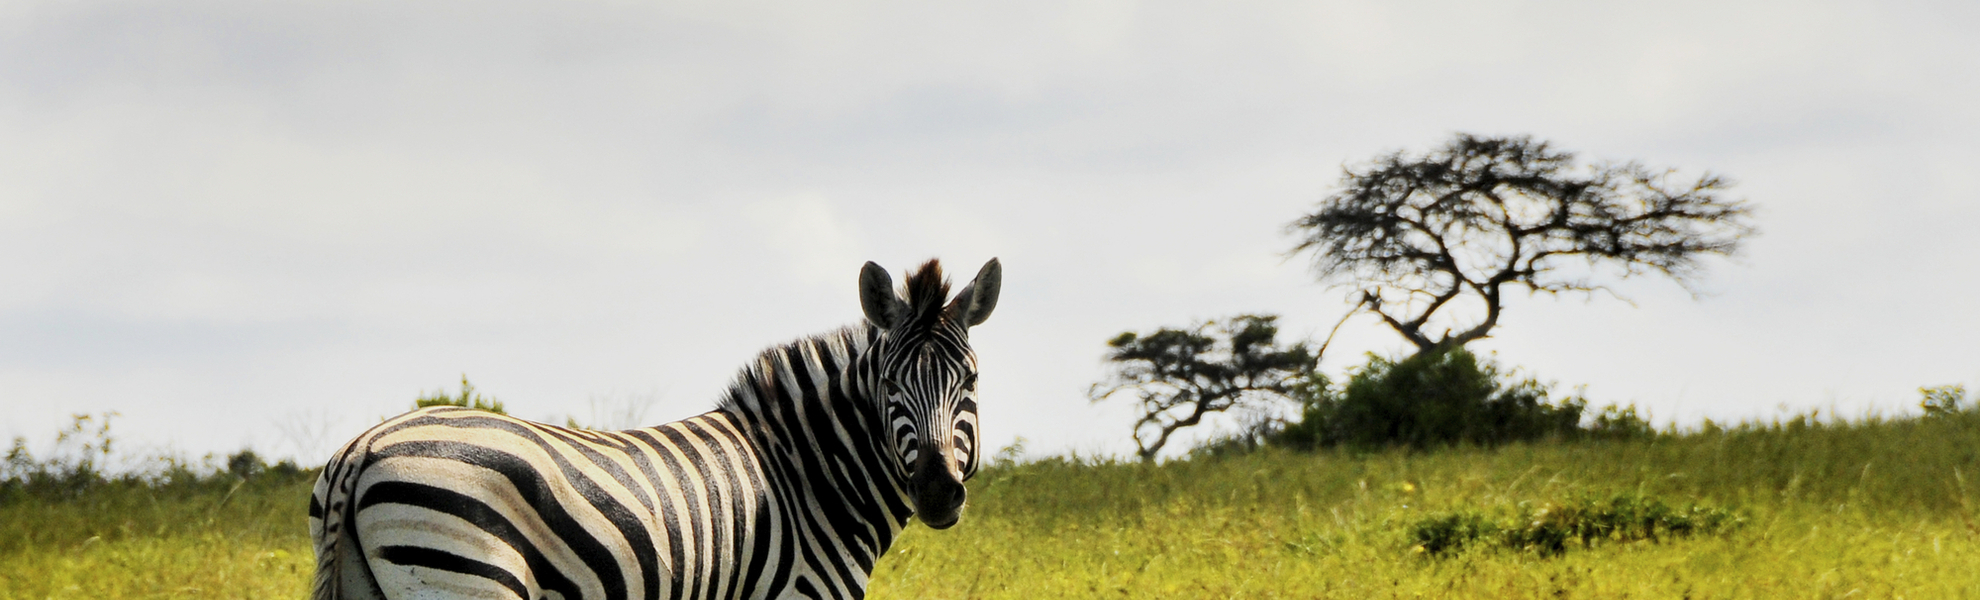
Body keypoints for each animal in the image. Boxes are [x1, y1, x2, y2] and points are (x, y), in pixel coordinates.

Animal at [309, 258, 1002, 600]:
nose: (938, 491)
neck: (808, 479)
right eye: (889, 385)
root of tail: (363, 447)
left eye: (971, 381)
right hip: (464, 574)